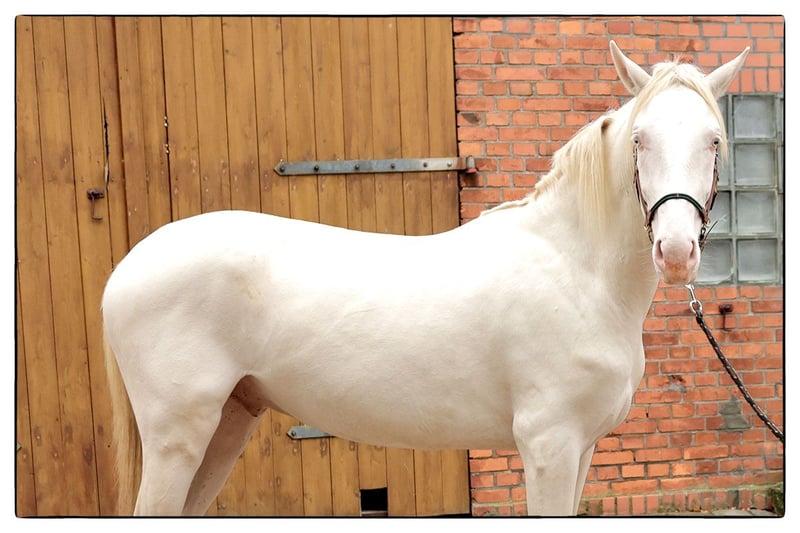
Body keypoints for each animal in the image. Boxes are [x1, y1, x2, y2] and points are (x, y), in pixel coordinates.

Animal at [102, 41, 749, 516]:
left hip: (227, 425)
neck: (574, 270)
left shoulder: (584, 448)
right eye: (640, 139)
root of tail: (126, 268)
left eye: (714, 140)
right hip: (178, 436)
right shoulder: (549, 444)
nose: (675, 250)